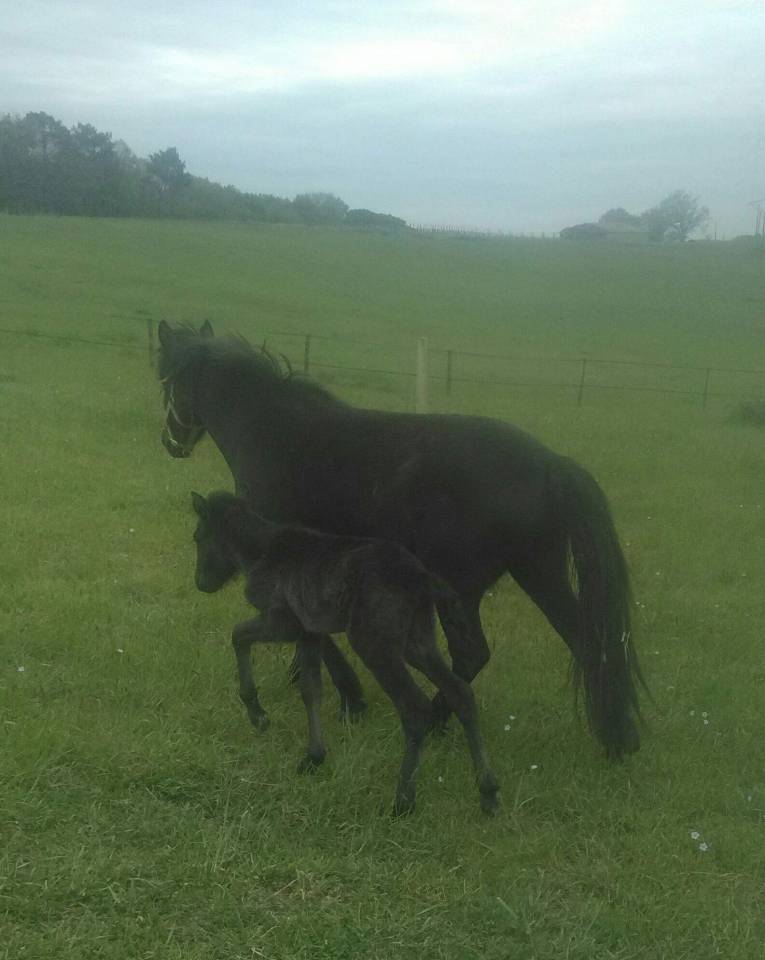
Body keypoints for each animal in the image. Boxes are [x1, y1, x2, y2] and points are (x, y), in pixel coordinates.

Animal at [158, 320, 644, 760]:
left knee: (474, 653)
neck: (274, 432)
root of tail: (550, 464)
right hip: (538, 572)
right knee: (586, 641)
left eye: (166, 379)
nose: (171, 441)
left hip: (465, 586)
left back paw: (437, 720)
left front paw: (350, 699)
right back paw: (616, 737)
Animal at [190, 490, 500, 815]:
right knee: (461, 693)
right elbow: (310, 689)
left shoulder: (283, 622)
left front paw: (257, 713)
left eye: (197, 537)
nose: (202, 583)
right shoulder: (309, 633)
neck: (260, 551)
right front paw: (313, 757)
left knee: (415, 709)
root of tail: (421, 577)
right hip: (418, 641)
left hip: (373, 644)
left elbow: (237, 635)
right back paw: (488, 793)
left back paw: (403, 800)